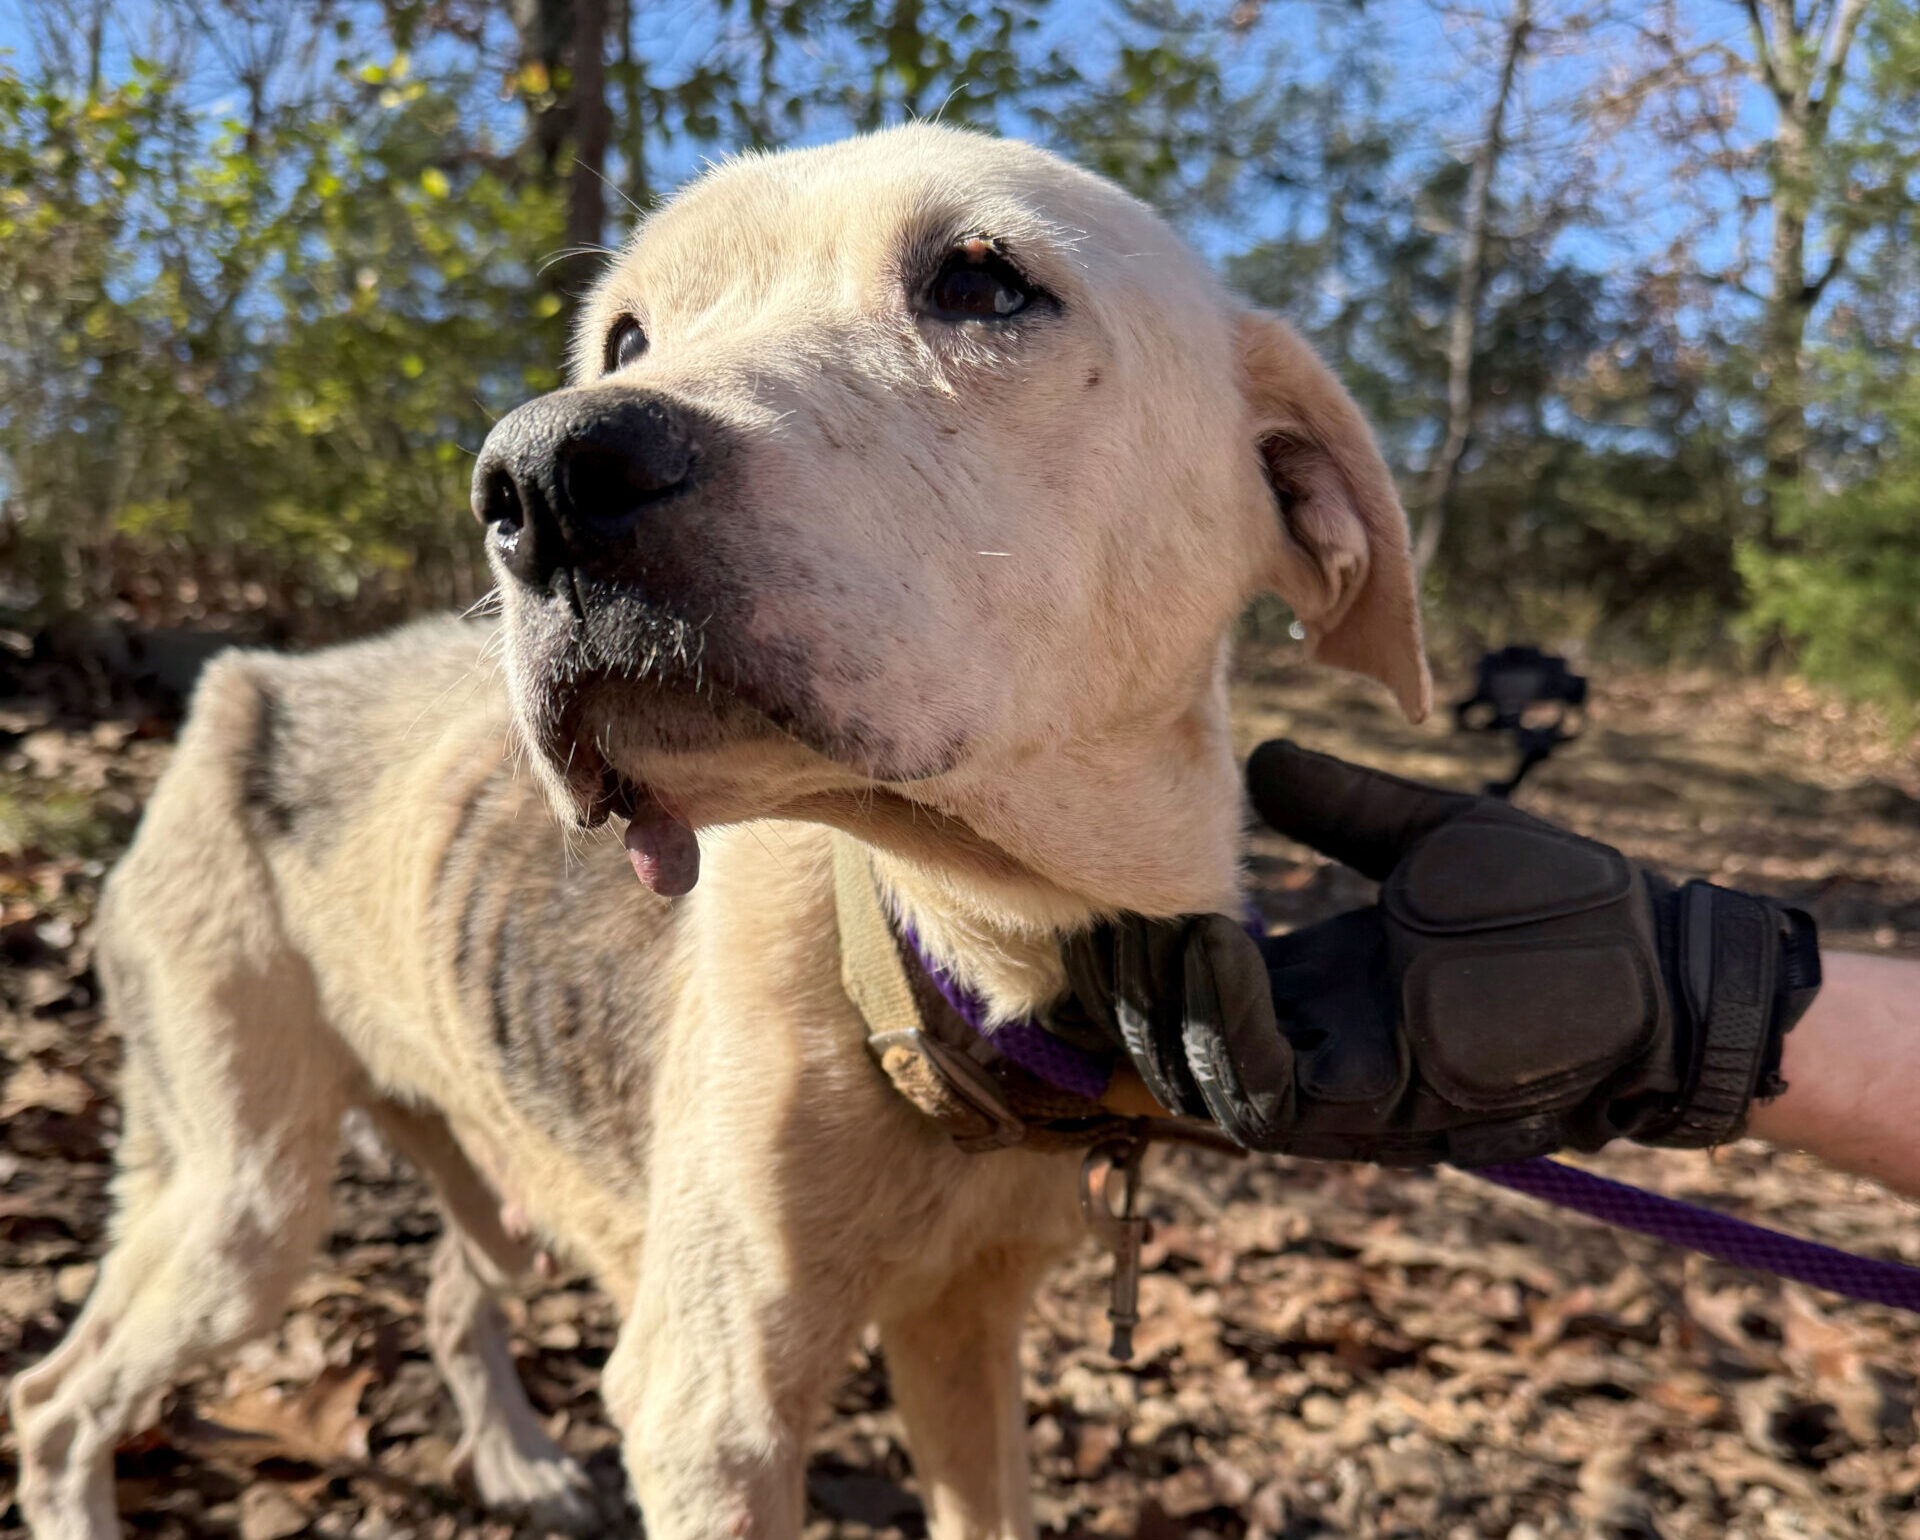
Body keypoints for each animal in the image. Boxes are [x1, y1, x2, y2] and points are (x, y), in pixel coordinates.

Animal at [11, 122, 1428, 1536]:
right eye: (624, 338)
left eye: (983, 280)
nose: (539, 478)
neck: (981, 953)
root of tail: (243, 684)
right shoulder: (710, 1413)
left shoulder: (967, 1333)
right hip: (242, 1204)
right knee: (55, 1398)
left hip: (485, 1168)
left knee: (452, 1290)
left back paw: (518, 1462)